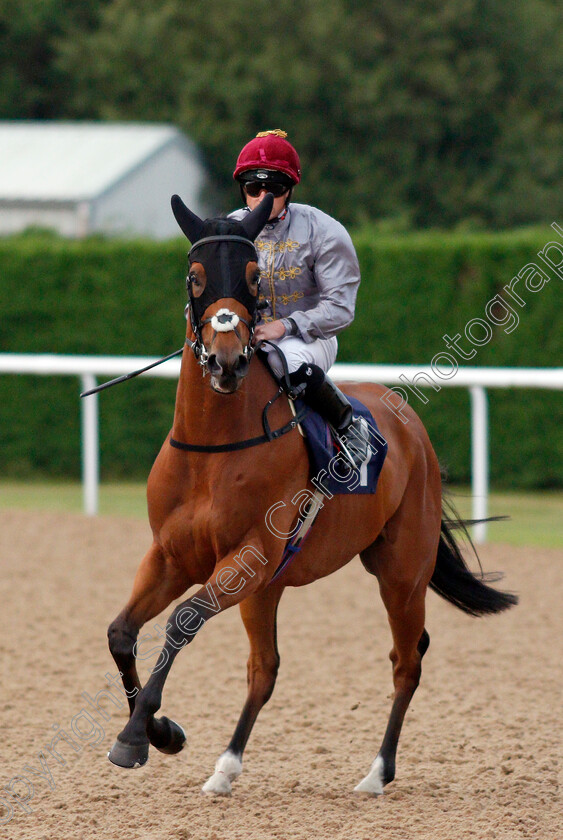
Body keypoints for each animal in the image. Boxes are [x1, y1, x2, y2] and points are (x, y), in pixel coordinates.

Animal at [107, 194, 520, 796]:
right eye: (196, 275)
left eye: (253, 276)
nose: (228, 361)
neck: (213, 450)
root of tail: (409, 423)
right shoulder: (172, 556)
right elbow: (121, 632)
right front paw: (161, 733)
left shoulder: (248, 558)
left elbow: (181, 622)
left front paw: (138, 735)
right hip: (269, 589)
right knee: (265, 669)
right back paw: (225, 768)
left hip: (400, 571)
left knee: (407, 660)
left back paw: (377, 772)